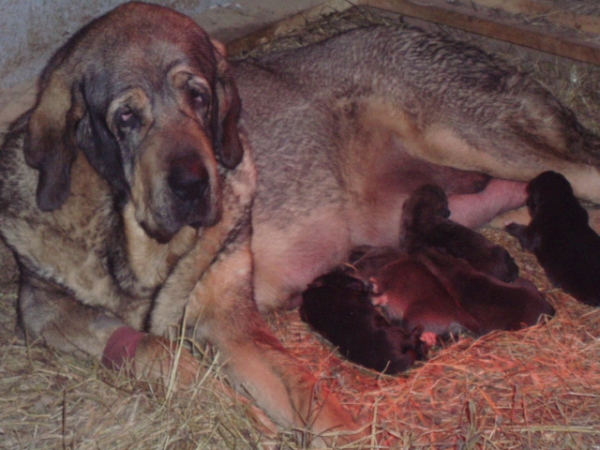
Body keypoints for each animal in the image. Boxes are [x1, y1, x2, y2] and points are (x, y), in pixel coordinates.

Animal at [506, 171, 600, 306]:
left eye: (530, 195)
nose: (527, 200)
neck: (560, 202)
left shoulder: (533, 229)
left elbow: (524, 235)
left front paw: (511, 226)